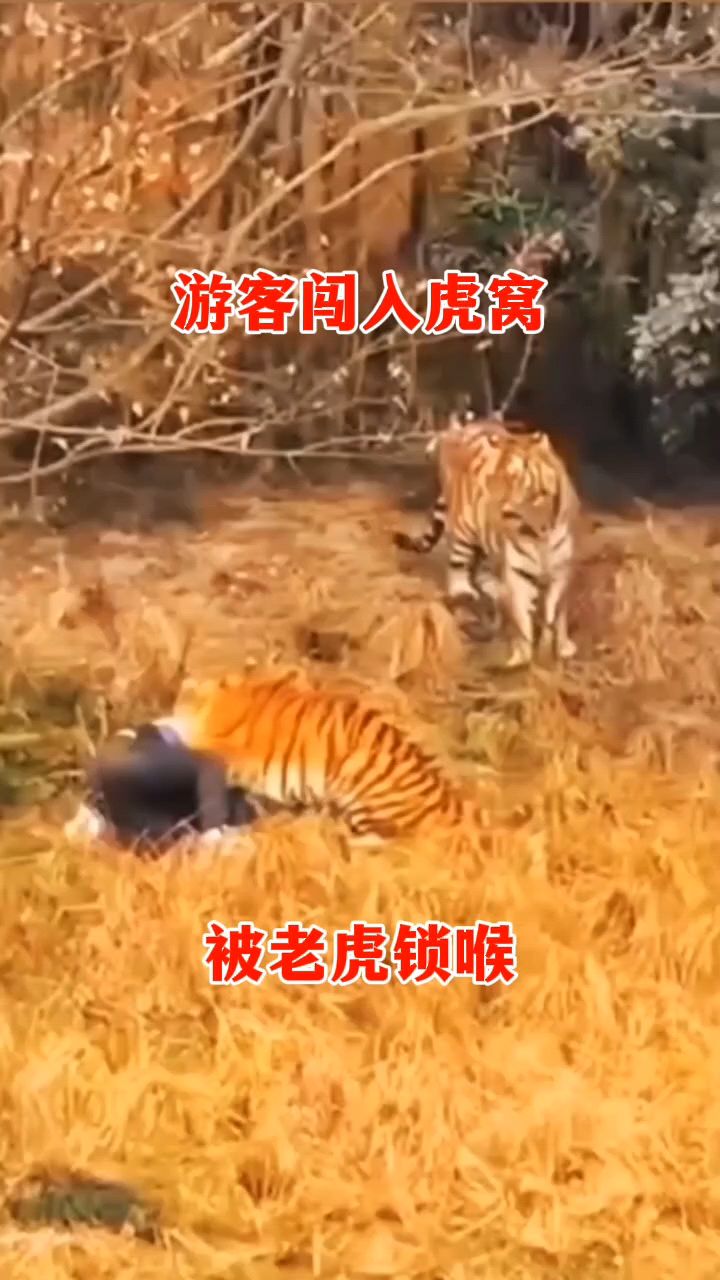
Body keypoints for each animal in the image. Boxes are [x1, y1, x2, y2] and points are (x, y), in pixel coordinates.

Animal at [394, 414, 579, 668]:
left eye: (519, 479)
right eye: (498, 480)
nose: (504, 510)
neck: (539, 529)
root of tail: (456, 430)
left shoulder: (562, 568)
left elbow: (558, 611)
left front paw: (561, 647)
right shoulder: (518, 572)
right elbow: (522, 615)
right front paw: (522, 655)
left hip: (485, 546)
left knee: (482, 572)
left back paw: (495, 592)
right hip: (464, 530)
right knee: (459, 567)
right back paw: (465, 592)